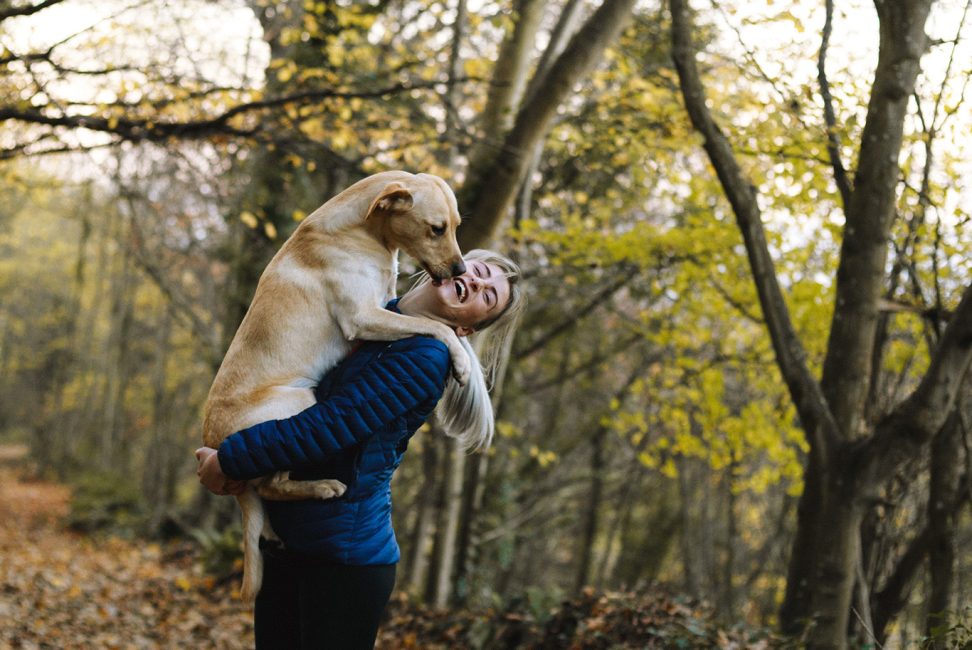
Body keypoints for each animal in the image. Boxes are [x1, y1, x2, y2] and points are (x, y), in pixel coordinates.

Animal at [202, 170, 470, 600]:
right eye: (436, 229)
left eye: (457, 227)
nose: (461, 271)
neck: (363, 231)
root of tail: (213, 442)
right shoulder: (363, 316)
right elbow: (434, 326)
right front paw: (460, 360)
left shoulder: (385, 305)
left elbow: (426, 321)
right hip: (297, 402)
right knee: (274, 485)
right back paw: (322, 487)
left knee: (266, 494)